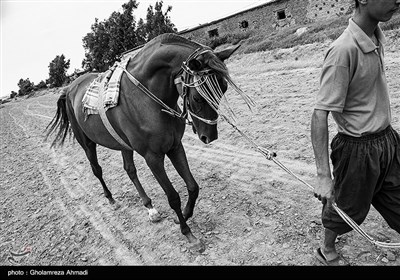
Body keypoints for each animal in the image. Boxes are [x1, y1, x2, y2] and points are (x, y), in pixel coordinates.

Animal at [44, 32, 250, 252]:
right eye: (197, 97)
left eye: (223, 89)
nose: (209, 137)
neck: (147, 99)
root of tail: (69, 88)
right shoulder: (153, 157)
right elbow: (173, 197)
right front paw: (188, 234)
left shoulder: (175, 147)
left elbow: (193, 187)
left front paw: (184, 216)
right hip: (87, 144)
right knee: (97, 170)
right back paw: (111, 199)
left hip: (123, 144)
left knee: (130, 170)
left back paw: (150, 207)